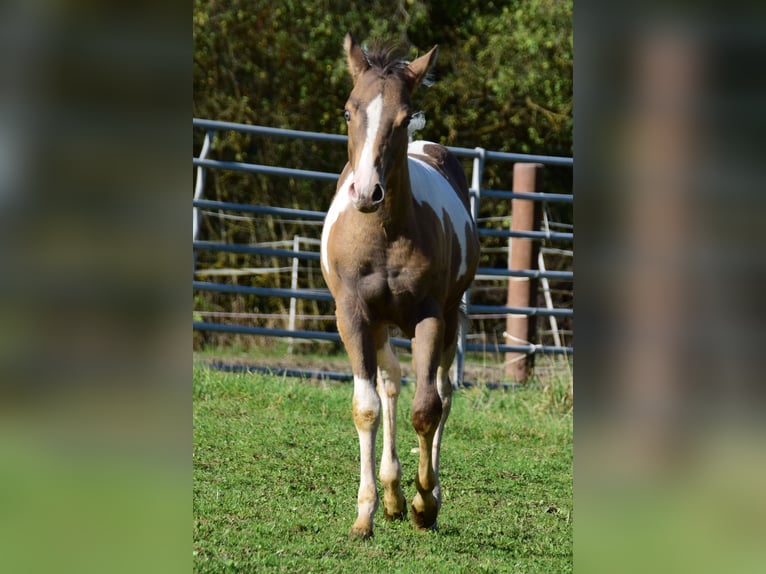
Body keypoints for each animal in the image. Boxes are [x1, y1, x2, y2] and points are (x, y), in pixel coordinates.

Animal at [320, 33, 479, 539]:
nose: (367, 192)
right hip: (380, 324)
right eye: (348, 111)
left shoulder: (429, 315)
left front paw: (424, 503)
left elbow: (426, 408)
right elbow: (367, 405)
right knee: (390, 383)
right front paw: (366, 514)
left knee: (442, 393)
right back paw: (390, 492)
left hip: (447, 318)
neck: (385, 234)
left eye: (404, 117)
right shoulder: (352, 315)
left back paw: (421, 494)